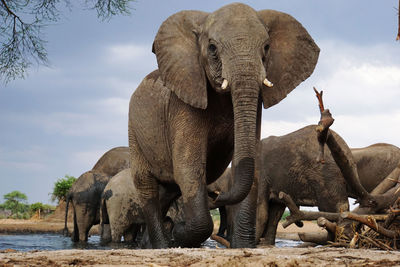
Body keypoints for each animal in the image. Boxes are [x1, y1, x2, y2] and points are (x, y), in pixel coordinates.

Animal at [128, 2, 318, 249]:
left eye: (267, 47)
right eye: (212, 48)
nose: (218, 196)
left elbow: (247, 164)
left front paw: (243, 246)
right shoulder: (184, 100)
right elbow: (189, 167)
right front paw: (180, 232)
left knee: (167, 191)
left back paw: (149, 245)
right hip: (134, 131)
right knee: (147, 187)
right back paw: (162, 245)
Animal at [209, 126, 400, 247]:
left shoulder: (261, 174)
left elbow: (262, 211)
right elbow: (275, 211)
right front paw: (266, 245)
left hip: (324, 175)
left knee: (334, 206)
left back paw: (337, 242)